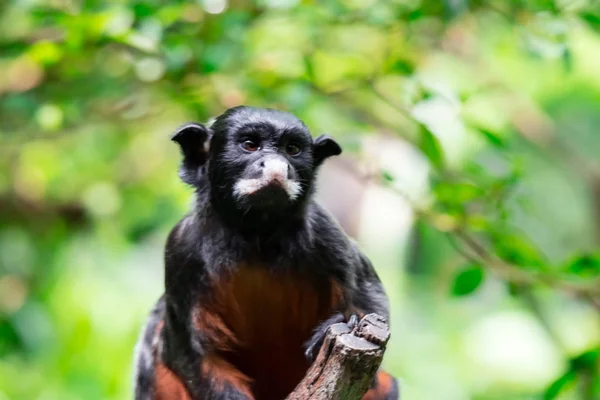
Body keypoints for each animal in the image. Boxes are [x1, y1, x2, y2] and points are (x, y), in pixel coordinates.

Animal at [134, 106, 400, 400]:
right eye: (250, 145)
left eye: (292, 149)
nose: (276, 164)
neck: (255, 238)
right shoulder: (180, 249)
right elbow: (194, 355)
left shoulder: (327, 234)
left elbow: (370, 297)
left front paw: (346, 323)